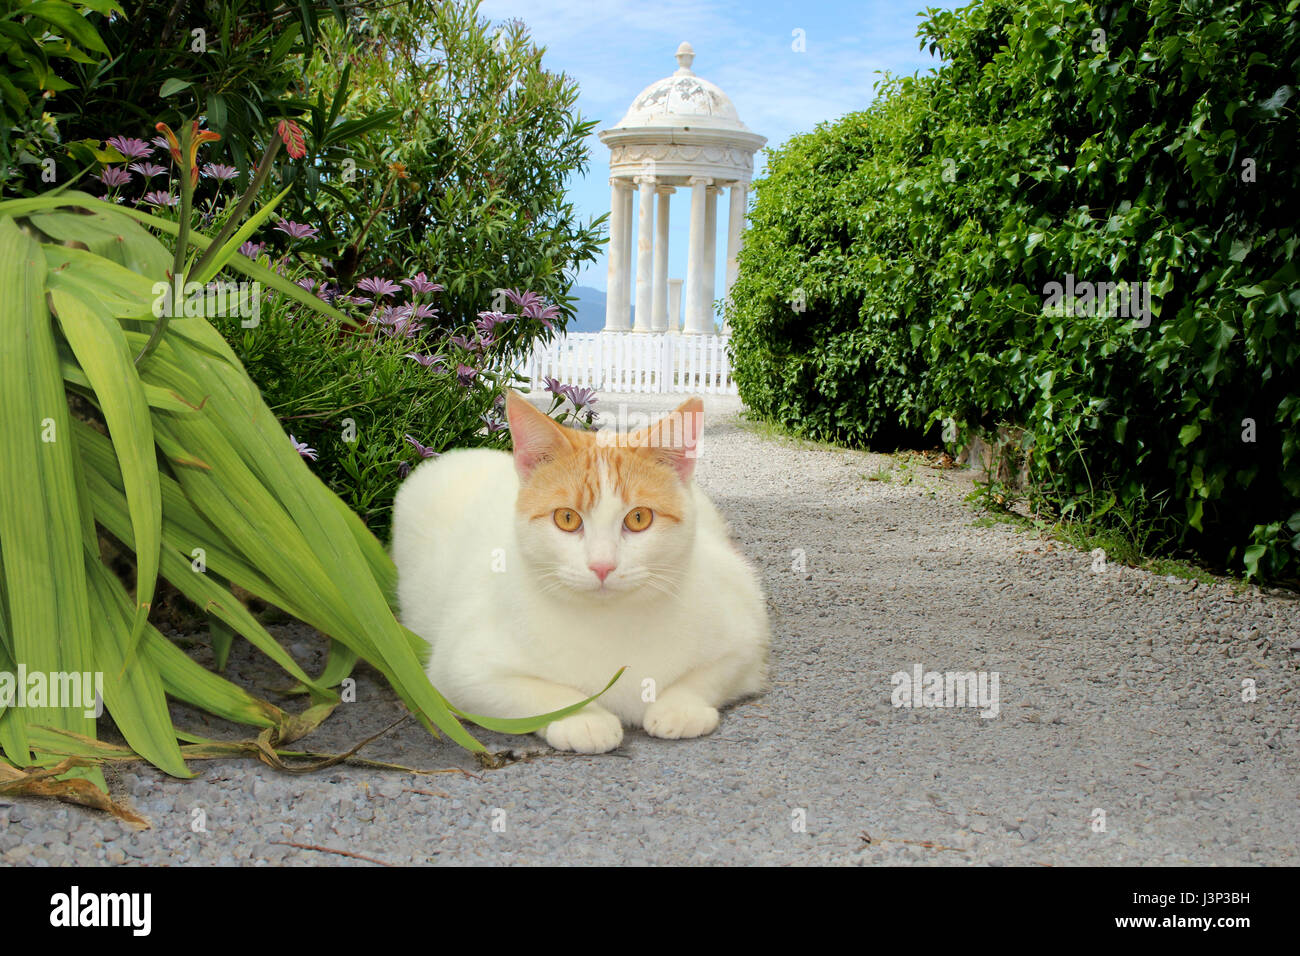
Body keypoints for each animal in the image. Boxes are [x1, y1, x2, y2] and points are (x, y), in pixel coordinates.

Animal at [390, 392, 764, 749]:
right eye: (567, 518)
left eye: (639, 518)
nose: (602, 565)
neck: (609, 622)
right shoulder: (459, 671)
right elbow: (535, 692)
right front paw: (584, 718)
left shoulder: (746, 630)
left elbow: (712, 672)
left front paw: (680, 707)